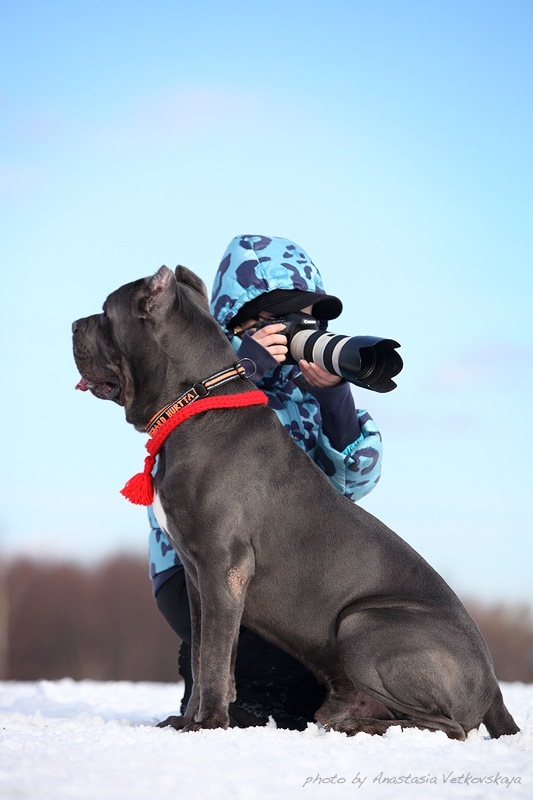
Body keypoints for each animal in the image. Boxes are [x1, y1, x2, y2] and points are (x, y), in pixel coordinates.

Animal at [72, 266, 516, 740]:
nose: (74, 325)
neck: (197, 402)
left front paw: (208, 725)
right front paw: (187, 720)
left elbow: (211, 657)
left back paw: (356, 725)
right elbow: (204, 652)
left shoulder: (222, 565)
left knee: (447, 727)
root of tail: (494, 687)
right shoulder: (197, 576)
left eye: (105, 313)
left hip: (363, 622)